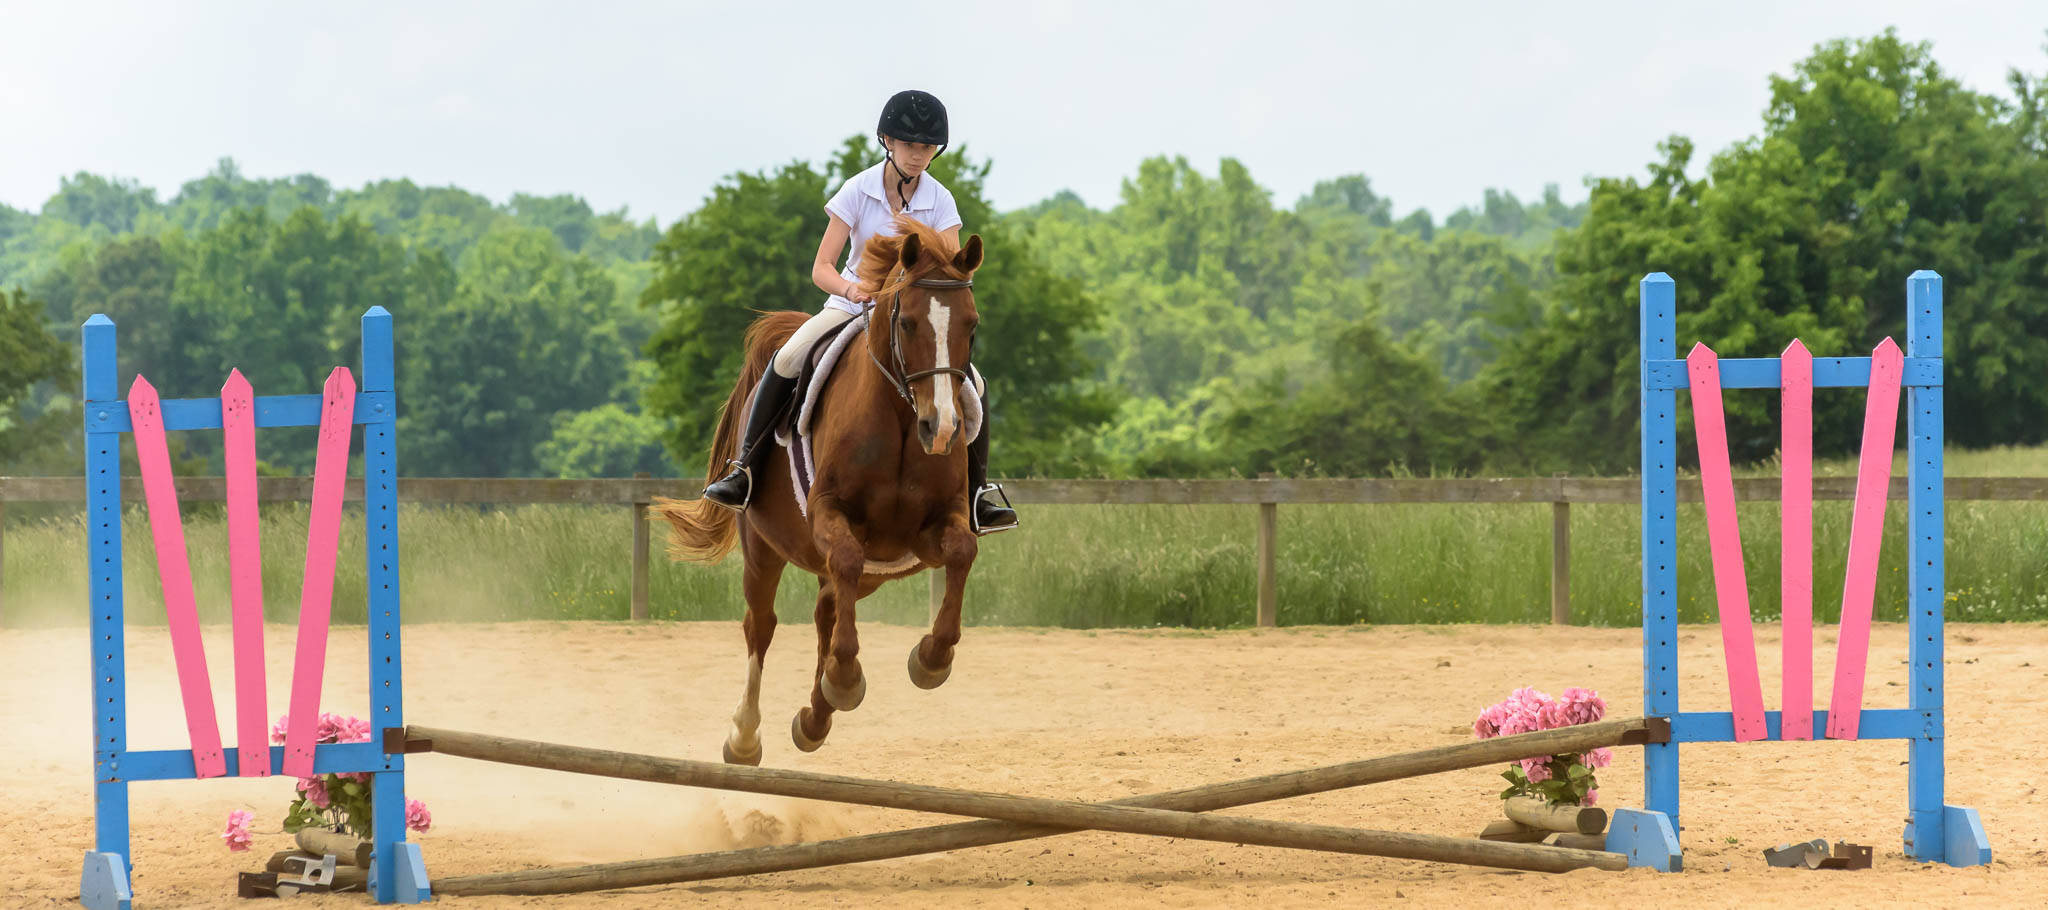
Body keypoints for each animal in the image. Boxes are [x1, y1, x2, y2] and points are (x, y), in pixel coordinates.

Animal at [651, 217, 978, 762]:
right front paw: (846, 678)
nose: (943, 430)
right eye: (908, 323)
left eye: (971, 326)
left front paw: (930, 660)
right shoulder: (829, 516)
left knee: (829, 608)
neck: (900, 420)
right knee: (762, 625)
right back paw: (746, 737)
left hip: (876, 571)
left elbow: (962, 551)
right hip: (762, 547)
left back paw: (815, 717)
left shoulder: (929, 530)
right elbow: (843, 560)